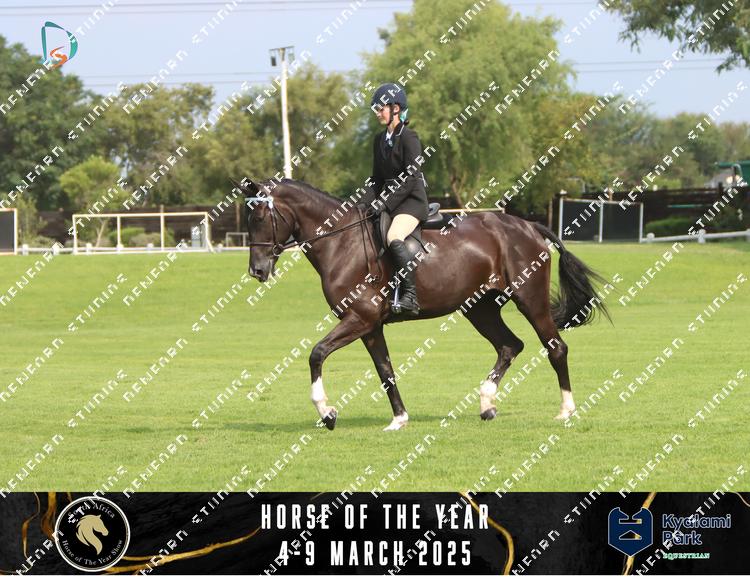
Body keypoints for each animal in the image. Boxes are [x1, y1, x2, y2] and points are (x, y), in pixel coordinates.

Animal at [236, 177, 610, 431]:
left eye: (259, 218)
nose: (257, 271)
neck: (341, 243)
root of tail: (528, 226)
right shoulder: (370, 326)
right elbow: (385, 371)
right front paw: (399, 419)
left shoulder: (360, 318)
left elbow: (316, 353)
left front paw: (326, 413)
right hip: (480, 308)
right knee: (509, 345)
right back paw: (487, 404)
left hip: (529, 300)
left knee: (555, 347)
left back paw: (565, 410)